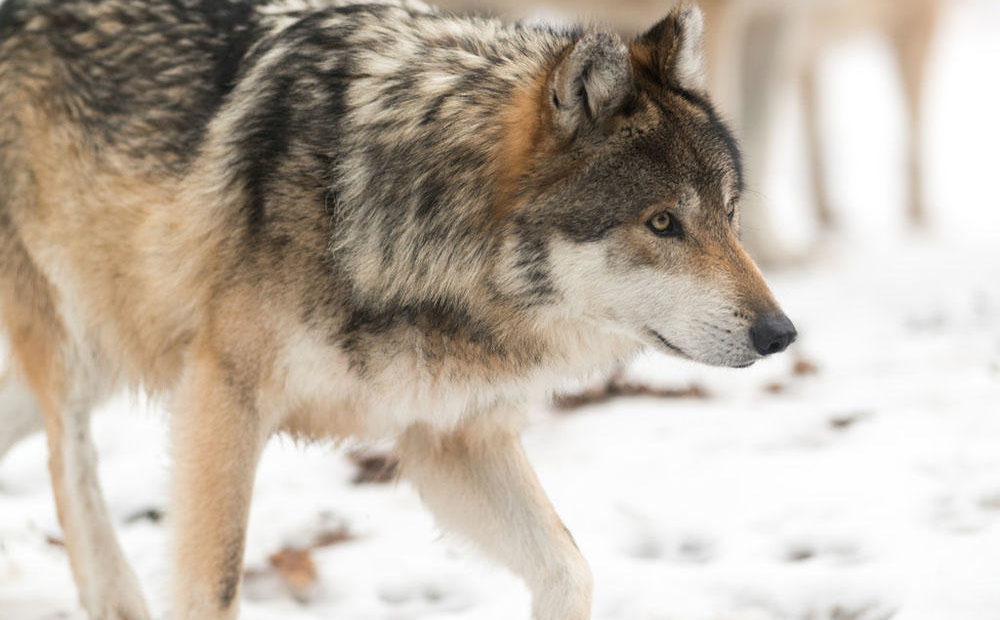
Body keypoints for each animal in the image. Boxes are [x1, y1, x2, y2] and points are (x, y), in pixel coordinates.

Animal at [1, 1, 796, 620]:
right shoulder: (222, 398)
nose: (782, 334)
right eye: (662, 223)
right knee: (69, 463)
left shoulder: (448, 435)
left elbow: (570, 569)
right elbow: (213, 586)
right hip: (75, 344)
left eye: (729, 214)